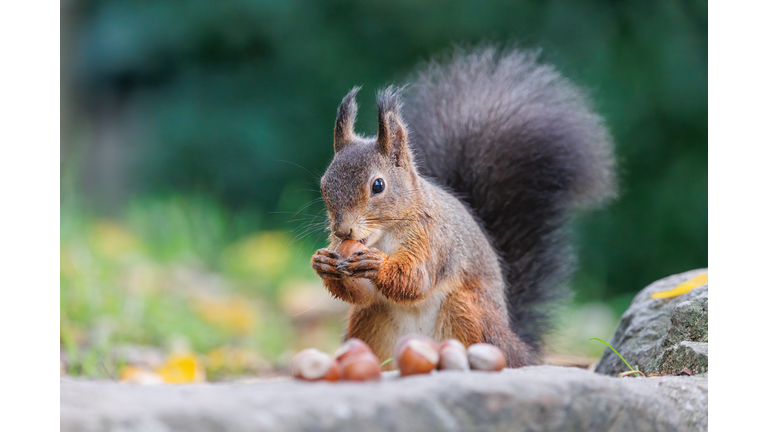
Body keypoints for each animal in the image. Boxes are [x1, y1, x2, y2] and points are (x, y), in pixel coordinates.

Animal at [308, 48, 616, 372]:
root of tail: (519, 347)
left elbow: (416, 279)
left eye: (378, 185)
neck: (385, 234)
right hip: (369, 323)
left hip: (466, 312)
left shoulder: (434, 240)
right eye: (324, 185)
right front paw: (323, 263)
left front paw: (377, 264)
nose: (342, 231)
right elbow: (363, 294)